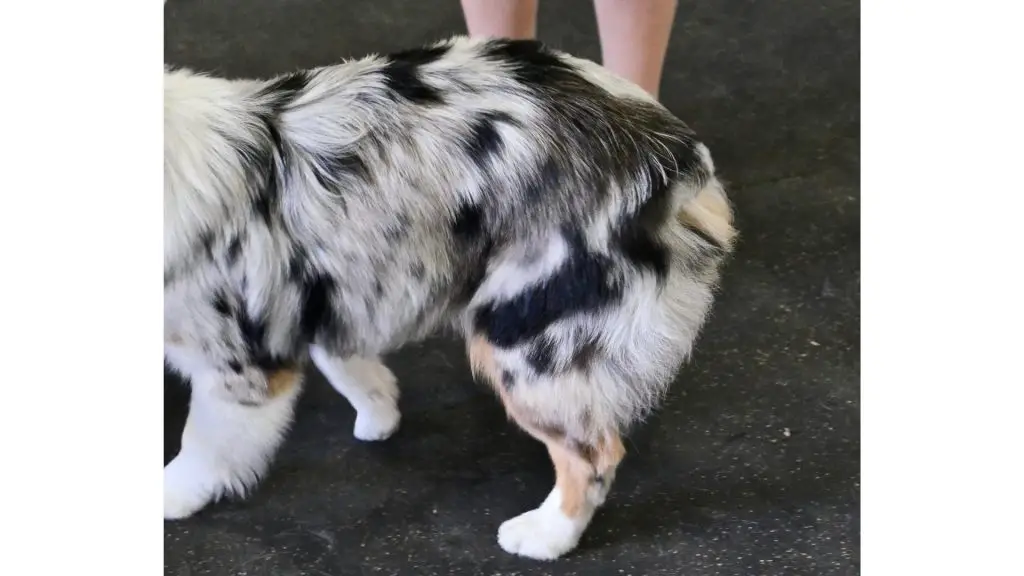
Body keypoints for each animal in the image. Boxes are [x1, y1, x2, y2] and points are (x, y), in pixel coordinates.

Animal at [163, 34, 733, 557]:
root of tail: (668, 149)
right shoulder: (332, 285)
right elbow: (345, 360)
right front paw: (380, 412)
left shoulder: (236, 362)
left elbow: (202, 444)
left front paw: (171, 495)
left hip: (526, 339)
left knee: (593, 453)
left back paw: (544, 536)